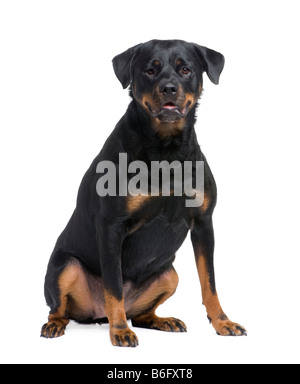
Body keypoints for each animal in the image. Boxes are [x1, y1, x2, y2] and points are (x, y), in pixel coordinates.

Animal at [40, 39, 246, 348]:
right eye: (150, 70)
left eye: (185, 69)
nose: (169, 88)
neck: (167, 150)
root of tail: (96, 316)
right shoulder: (111, 227)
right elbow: (114, 287)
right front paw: (119, 332)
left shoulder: (203, 223)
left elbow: (209, 282)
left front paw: (222, 322)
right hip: (66, 266)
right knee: (61, 308)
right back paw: (59, 325)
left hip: (169, 274)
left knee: (140, 314)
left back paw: (163, 321)